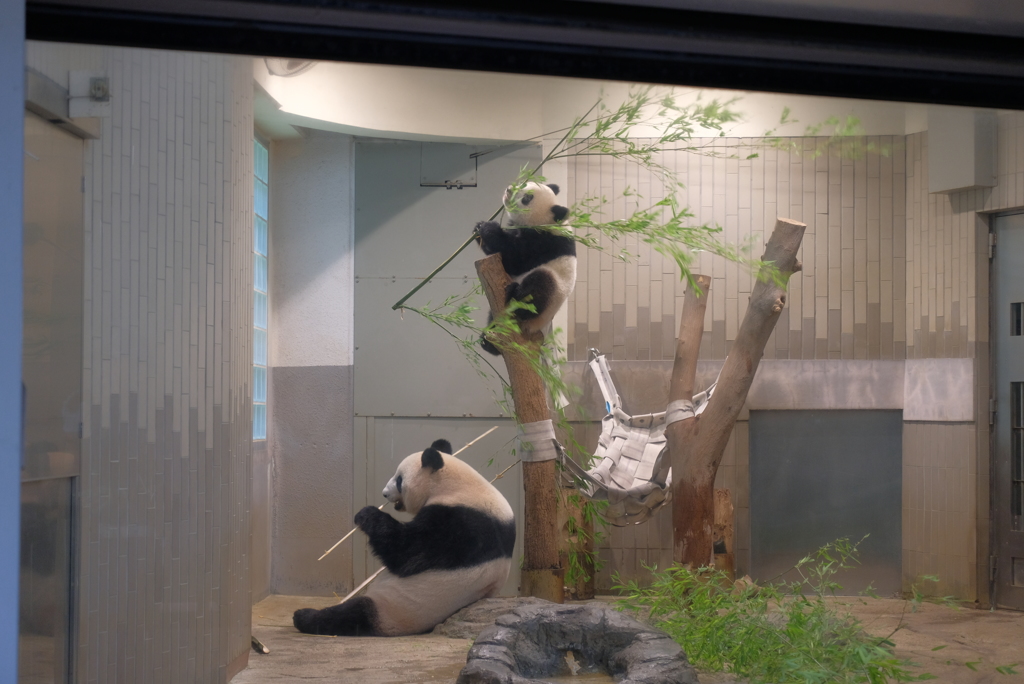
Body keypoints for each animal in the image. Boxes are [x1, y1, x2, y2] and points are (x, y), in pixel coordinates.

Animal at [290, 438, 516, 634]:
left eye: (399, 480)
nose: (384, 493)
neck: (457, 485)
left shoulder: (461, 524)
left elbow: (407, 551)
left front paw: (366, 514)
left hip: (394, 610)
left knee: (352, 615)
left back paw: (303, 616)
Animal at [473, 181, 577, 352]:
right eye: (524, 182)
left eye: (527, 198)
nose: (509, 190)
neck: (548, 221)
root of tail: (535, 329)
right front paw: (478, 227)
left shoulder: (543, 242)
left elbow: (514, 259)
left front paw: (488, 227)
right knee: (493, 317)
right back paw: (488, 343)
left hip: (553, 295)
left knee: (540, 285)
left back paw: (516, 297)